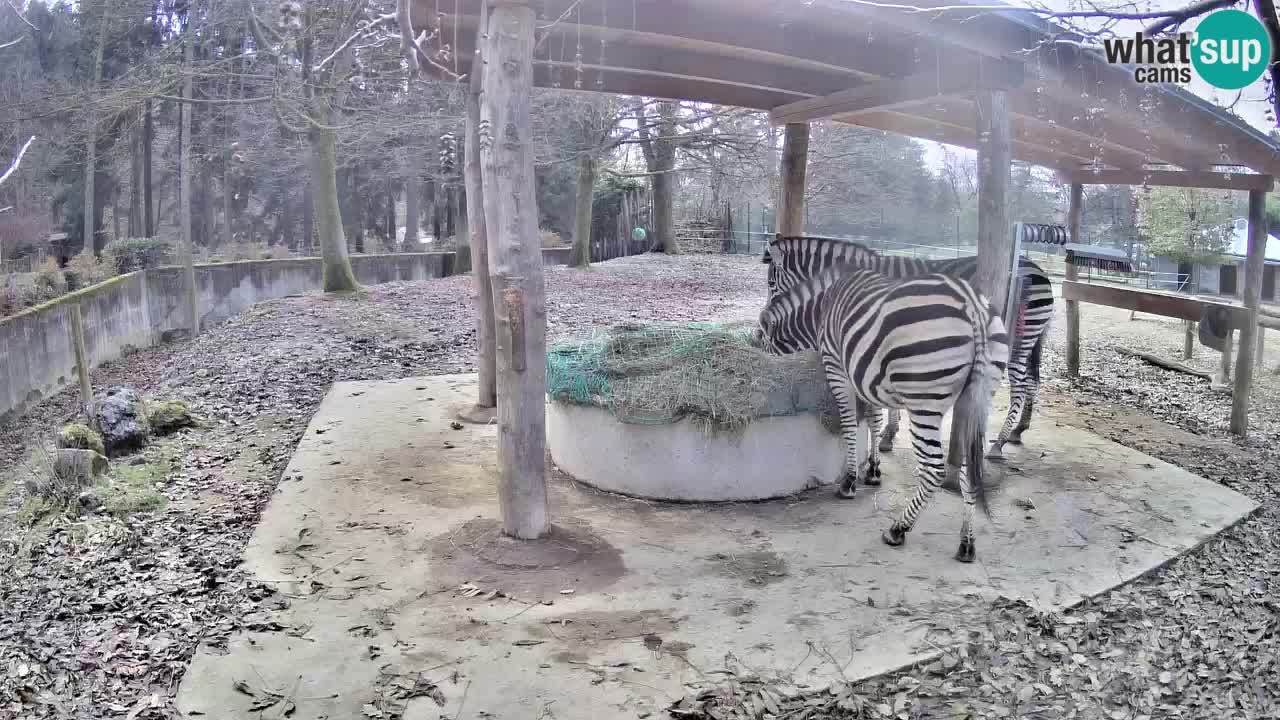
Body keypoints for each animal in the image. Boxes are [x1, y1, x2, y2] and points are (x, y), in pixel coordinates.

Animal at [747, 265, 1008, 561]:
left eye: (763, 350)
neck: (822, 308)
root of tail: (973, 305)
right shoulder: (865, 375)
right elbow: (873, 420)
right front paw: (873, 470)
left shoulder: (838, 369)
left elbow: (851, 425)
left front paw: (850, 481)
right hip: (978, 400)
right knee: (970, 470)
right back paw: (967, 541)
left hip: (925, 401)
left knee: (934, 470)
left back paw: (898, 529)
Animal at [762, 235, 1054, 458]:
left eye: (771, 283)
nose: (766, 317)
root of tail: (1040, 271)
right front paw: (890, 432)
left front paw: (887, 436)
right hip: (1034, 337)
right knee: (1033, 382)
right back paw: (1018, 431)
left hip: (1019, 339)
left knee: (1020, 386)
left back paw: (1000, 442)